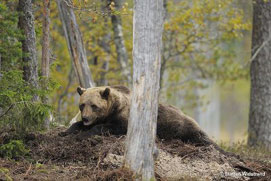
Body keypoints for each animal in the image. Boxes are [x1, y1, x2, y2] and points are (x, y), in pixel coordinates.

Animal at [59, 85, 221, 148]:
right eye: (82, 105)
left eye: (94, 105)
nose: (86, 118)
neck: (112, 109)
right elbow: (76, 125)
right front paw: (66, 131)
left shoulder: (124, 118)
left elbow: (111, 127)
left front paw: (83, 134)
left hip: (181, 126)